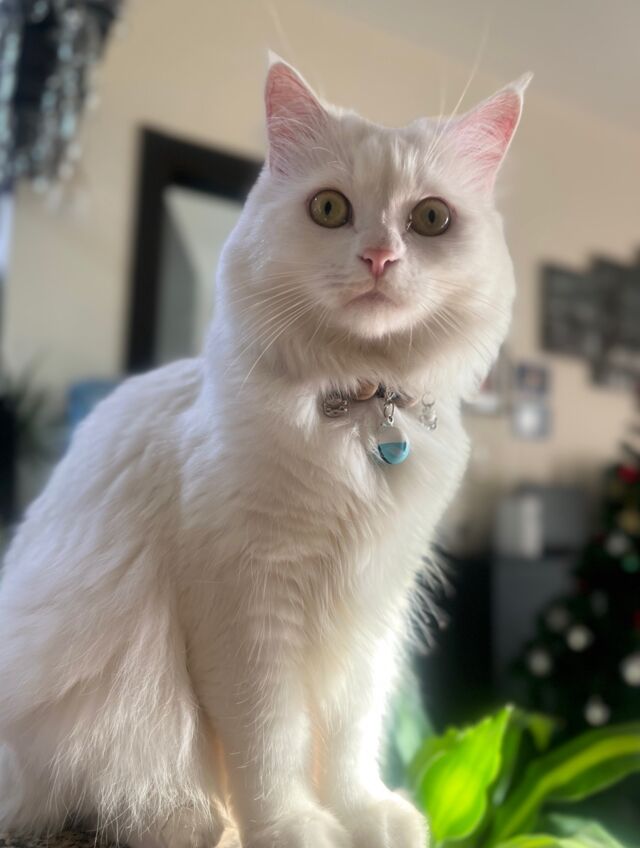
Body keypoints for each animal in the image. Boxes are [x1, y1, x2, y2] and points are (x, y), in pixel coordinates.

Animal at [0, 57, 529, 848]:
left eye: (431, 219)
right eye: (331, 210)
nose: (380, 257)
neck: (359, 414)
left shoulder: (372, 610)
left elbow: (350, 740)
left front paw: (365, 815)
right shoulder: (248, 601)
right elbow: (268, 740)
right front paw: (294, 827)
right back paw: (188, 820)